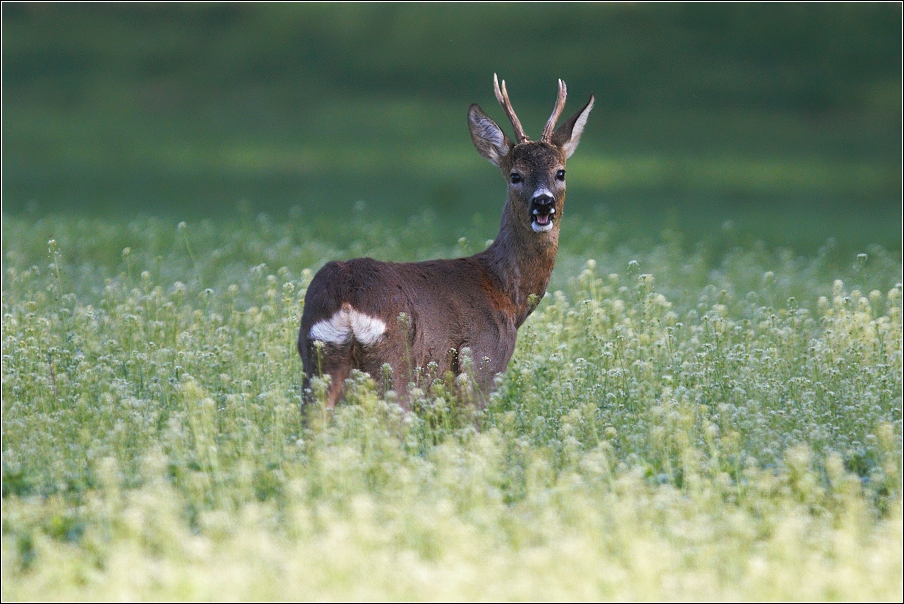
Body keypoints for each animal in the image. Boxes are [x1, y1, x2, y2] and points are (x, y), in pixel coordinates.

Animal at [298, 73, 592, 408]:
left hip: (315, 361)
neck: (505, 293)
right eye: (515, 175)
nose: (543, 203)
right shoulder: (482, 363)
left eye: (561, 172)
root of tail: (345, 299)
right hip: (394, 366)